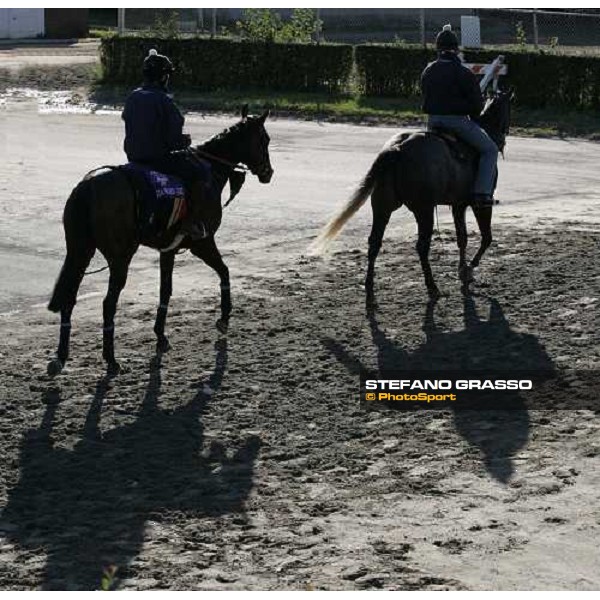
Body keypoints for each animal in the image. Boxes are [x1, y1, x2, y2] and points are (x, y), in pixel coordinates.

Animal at [48, 105, 274, 372]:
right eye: (265, 139)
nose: (268, 172)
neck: (210, 169)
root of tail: (89, 186)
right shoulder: (202, 242)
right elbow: (224, 271)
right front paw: (224, 318)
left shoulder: (169, 249)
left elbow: (166, 290)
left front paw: (161, 336)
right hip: (120, 258)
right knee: (108, 304)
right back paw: (111, 359)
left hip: (80, 252)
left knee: (69, 297)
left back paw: (61, 356)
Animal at [312, 90, 512, 304]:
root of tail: (398, 148)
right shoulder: (479, 204)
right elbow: (486, 237)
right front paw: (469, 268)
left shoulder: (458, 205)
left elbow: (462, 238)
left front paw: (463, 269)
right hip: (424, 211)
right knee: (422, 247)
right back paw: (432, 287)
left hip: (382, 207)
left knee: (374, 242)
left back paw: (369, 286)